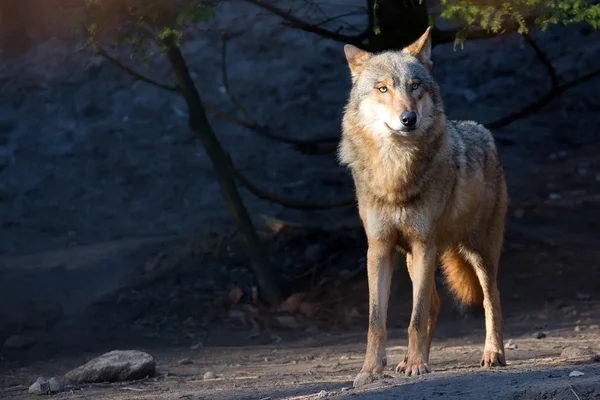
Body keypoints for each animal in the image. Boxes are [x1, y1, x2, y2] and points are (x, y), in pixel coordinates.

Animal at [338, 25, 506, 388]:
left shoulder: (423, 243)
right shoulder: (379, 249)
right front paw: (371, 370)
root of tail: (482, 131)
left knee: (491, 299)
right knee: (434, 304)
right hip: (416, 260)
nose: (408, 118)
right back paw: (413, 362)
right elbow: (377, 321)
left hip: (478, 252)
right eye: (383, 88)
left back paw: (492, 354)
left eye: (415, 86)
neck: (395, 171)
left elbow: (414, 318)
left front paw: (416, 364)